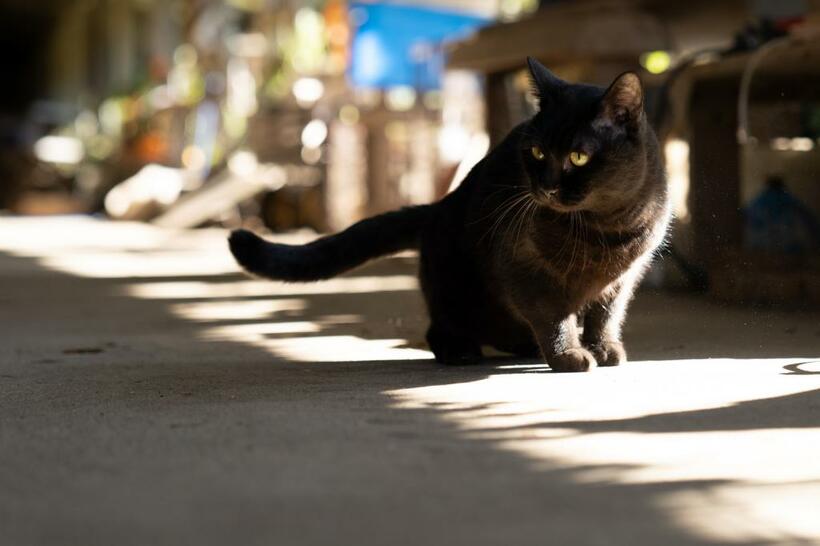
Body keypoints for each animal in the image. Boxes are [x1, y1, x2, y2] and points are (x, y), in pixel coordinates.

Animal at [227, 57, 668, 370]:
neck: (604, 229)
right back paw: (464, 351)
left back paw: (524, 346)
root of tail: (438, 205)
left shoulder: (624, 278)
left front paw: (604, 349)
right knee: (438, 329)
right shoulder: (524, 271)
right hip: (454, 288)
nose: (544, 187)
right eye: (537, 152)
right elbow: (553, 316)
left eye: (578, 157)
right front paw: (568, 356)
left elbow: (605, 316)